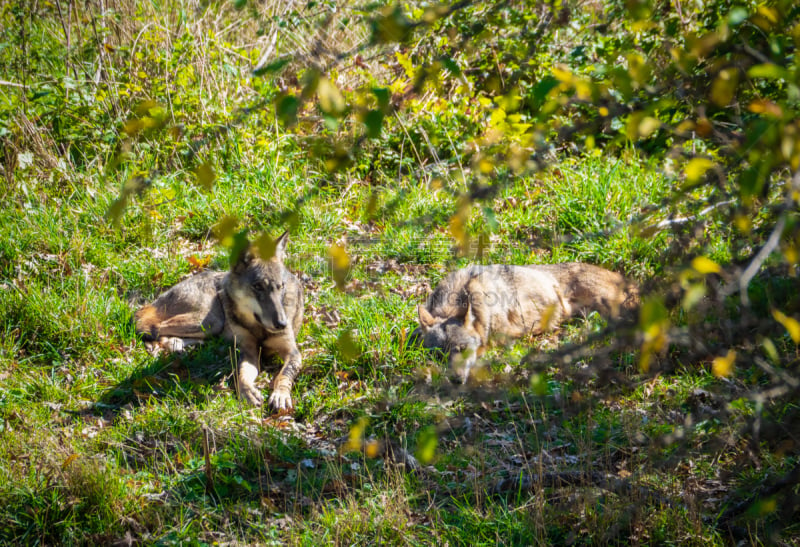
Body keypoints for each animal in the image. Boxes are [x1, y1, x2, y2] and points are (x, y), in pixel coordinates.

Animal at [134, 231, 304, 412]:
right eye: (258, 286)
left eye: (280, 286)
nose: (281, 324)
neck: (259, 328)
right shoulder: (248, 351)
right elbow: (241, 375)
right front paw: (248, 393)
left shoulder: (292, 352)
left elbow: (284, 375)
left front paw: (280, 395)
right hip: (211, 321)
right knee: (149, 326)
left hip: (209, 327)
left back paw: (176, 345)